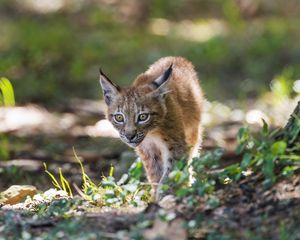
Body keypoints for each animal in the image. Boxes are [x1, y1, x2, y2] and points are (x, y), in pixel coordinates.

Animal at [99, 56, 203, 199]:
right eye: (119, 118)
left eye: (143, 117)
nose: (129, 136)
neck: (152, 133)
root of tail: (176, 57)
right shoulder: (147, 150)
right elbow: (155, 173)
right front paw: (157, 195)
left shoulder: (176, 144)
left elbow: (171, 172)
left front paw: (163, 195)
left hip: (193, 131)